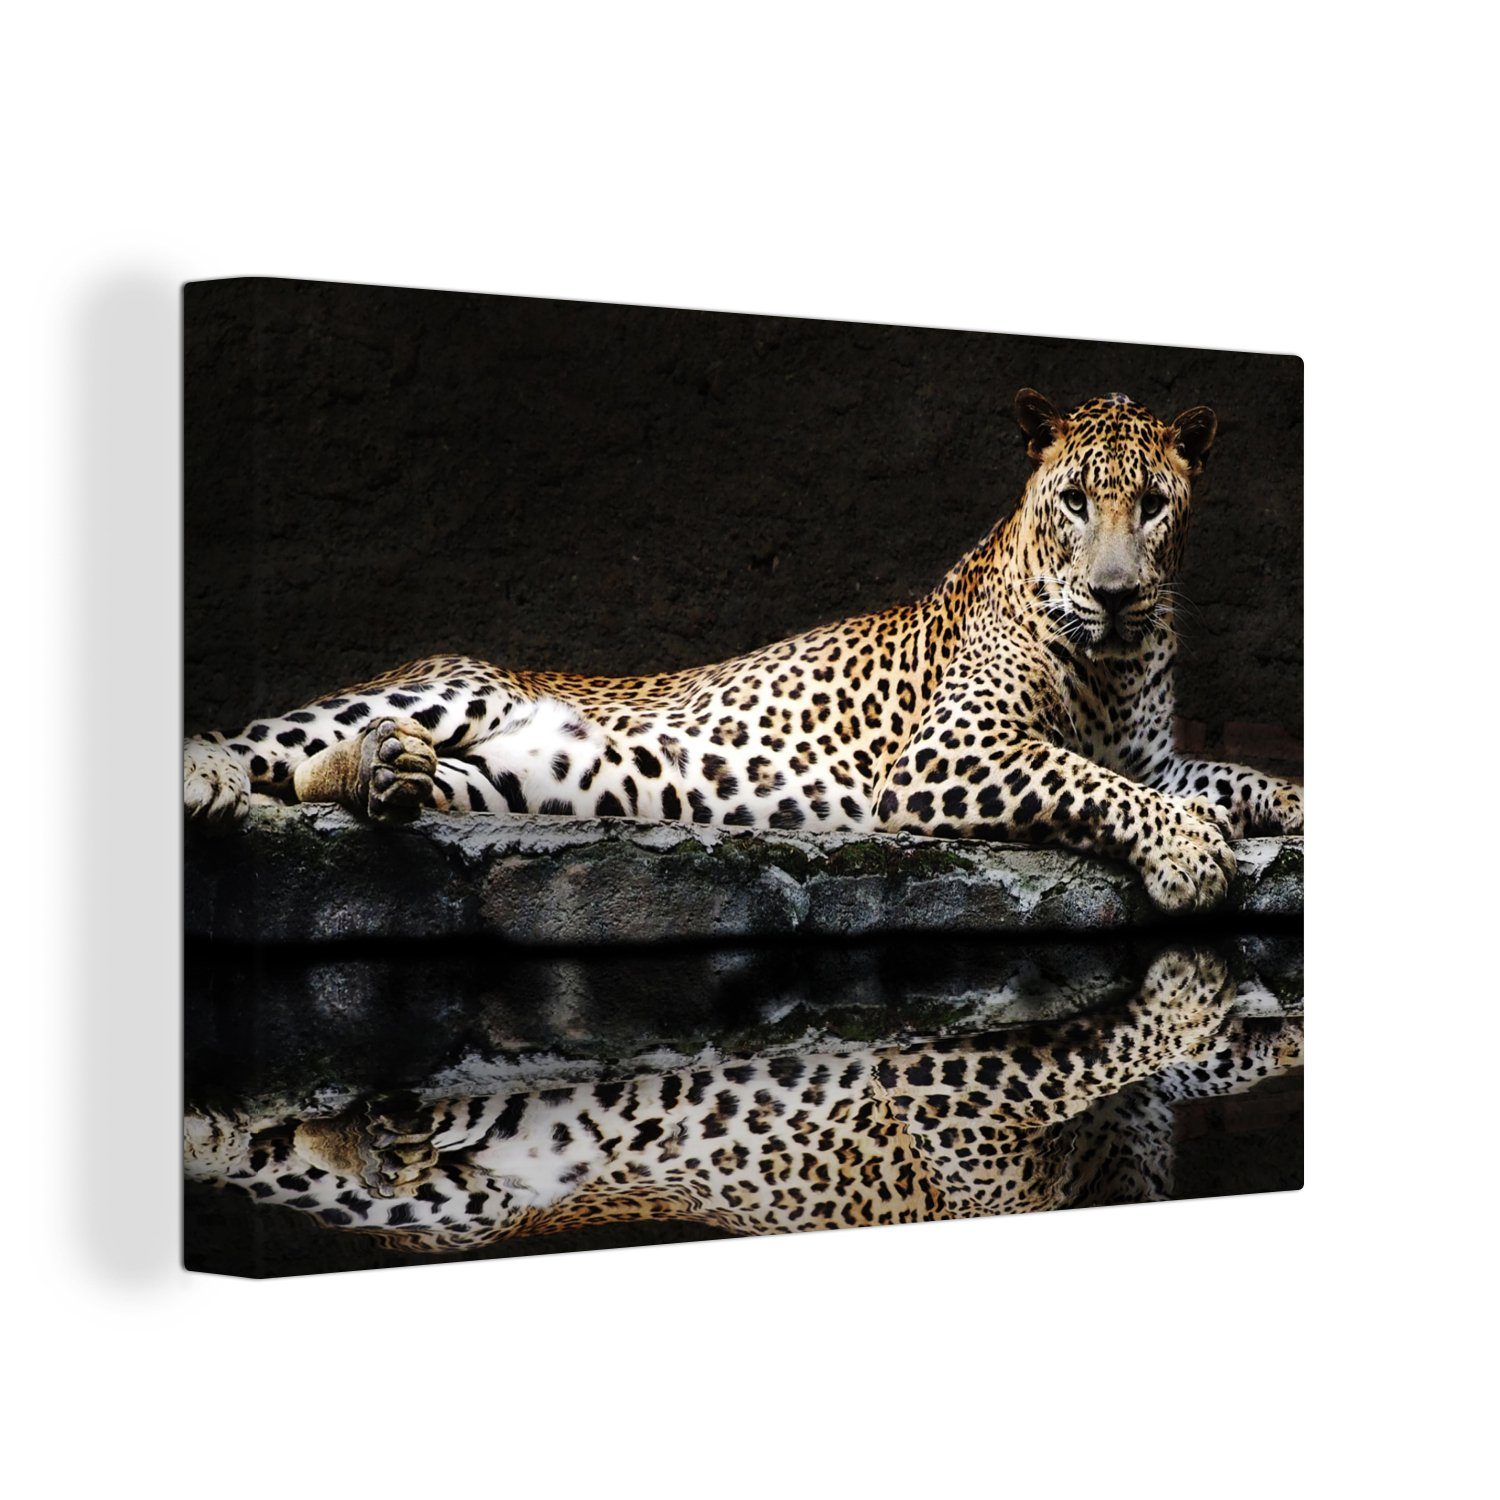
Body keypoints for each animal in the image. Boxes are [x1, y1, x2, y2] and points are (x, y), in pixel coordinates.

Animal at [183, 389, 1303, 911]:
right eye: (1076, 503)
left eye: (1151, 507)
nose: (1115, 594)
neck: (1111, 663)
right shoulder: (948, 757)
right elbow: (1086, 780)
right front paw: (1190, 852)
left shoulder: (1156, 755)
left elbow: (1235, 775)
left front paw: (1270, 806)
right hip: (453, 688)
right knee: (264, 742)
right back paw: (217, 779)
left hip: (517, 776)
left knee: (342, 776)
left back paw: (382, 776)